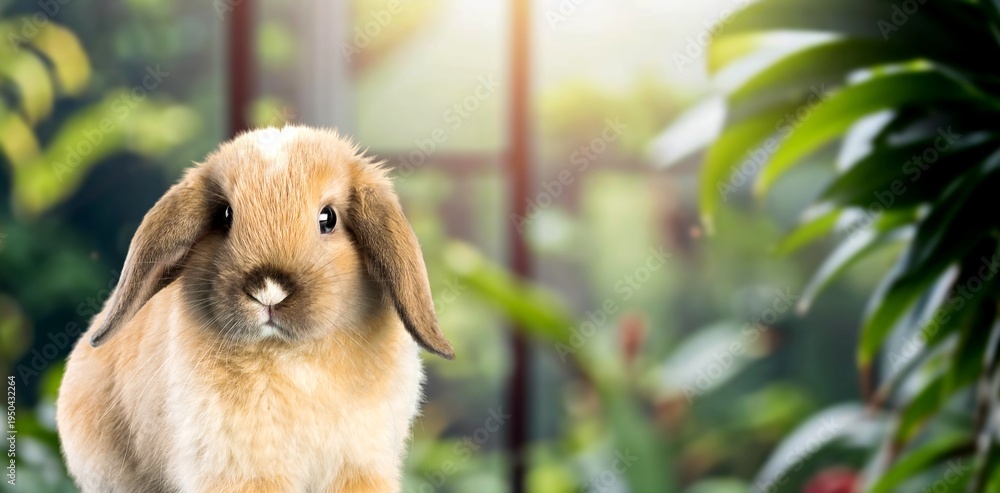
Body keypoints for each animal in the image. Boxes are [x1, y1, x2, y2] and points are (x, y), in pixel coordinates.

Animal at [56, 126, 454, 493]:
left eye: (328, 218)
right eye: (225, 216)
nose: (269, 290)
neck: (291, 355)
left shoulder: (360, 467)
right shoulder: (242, 472)